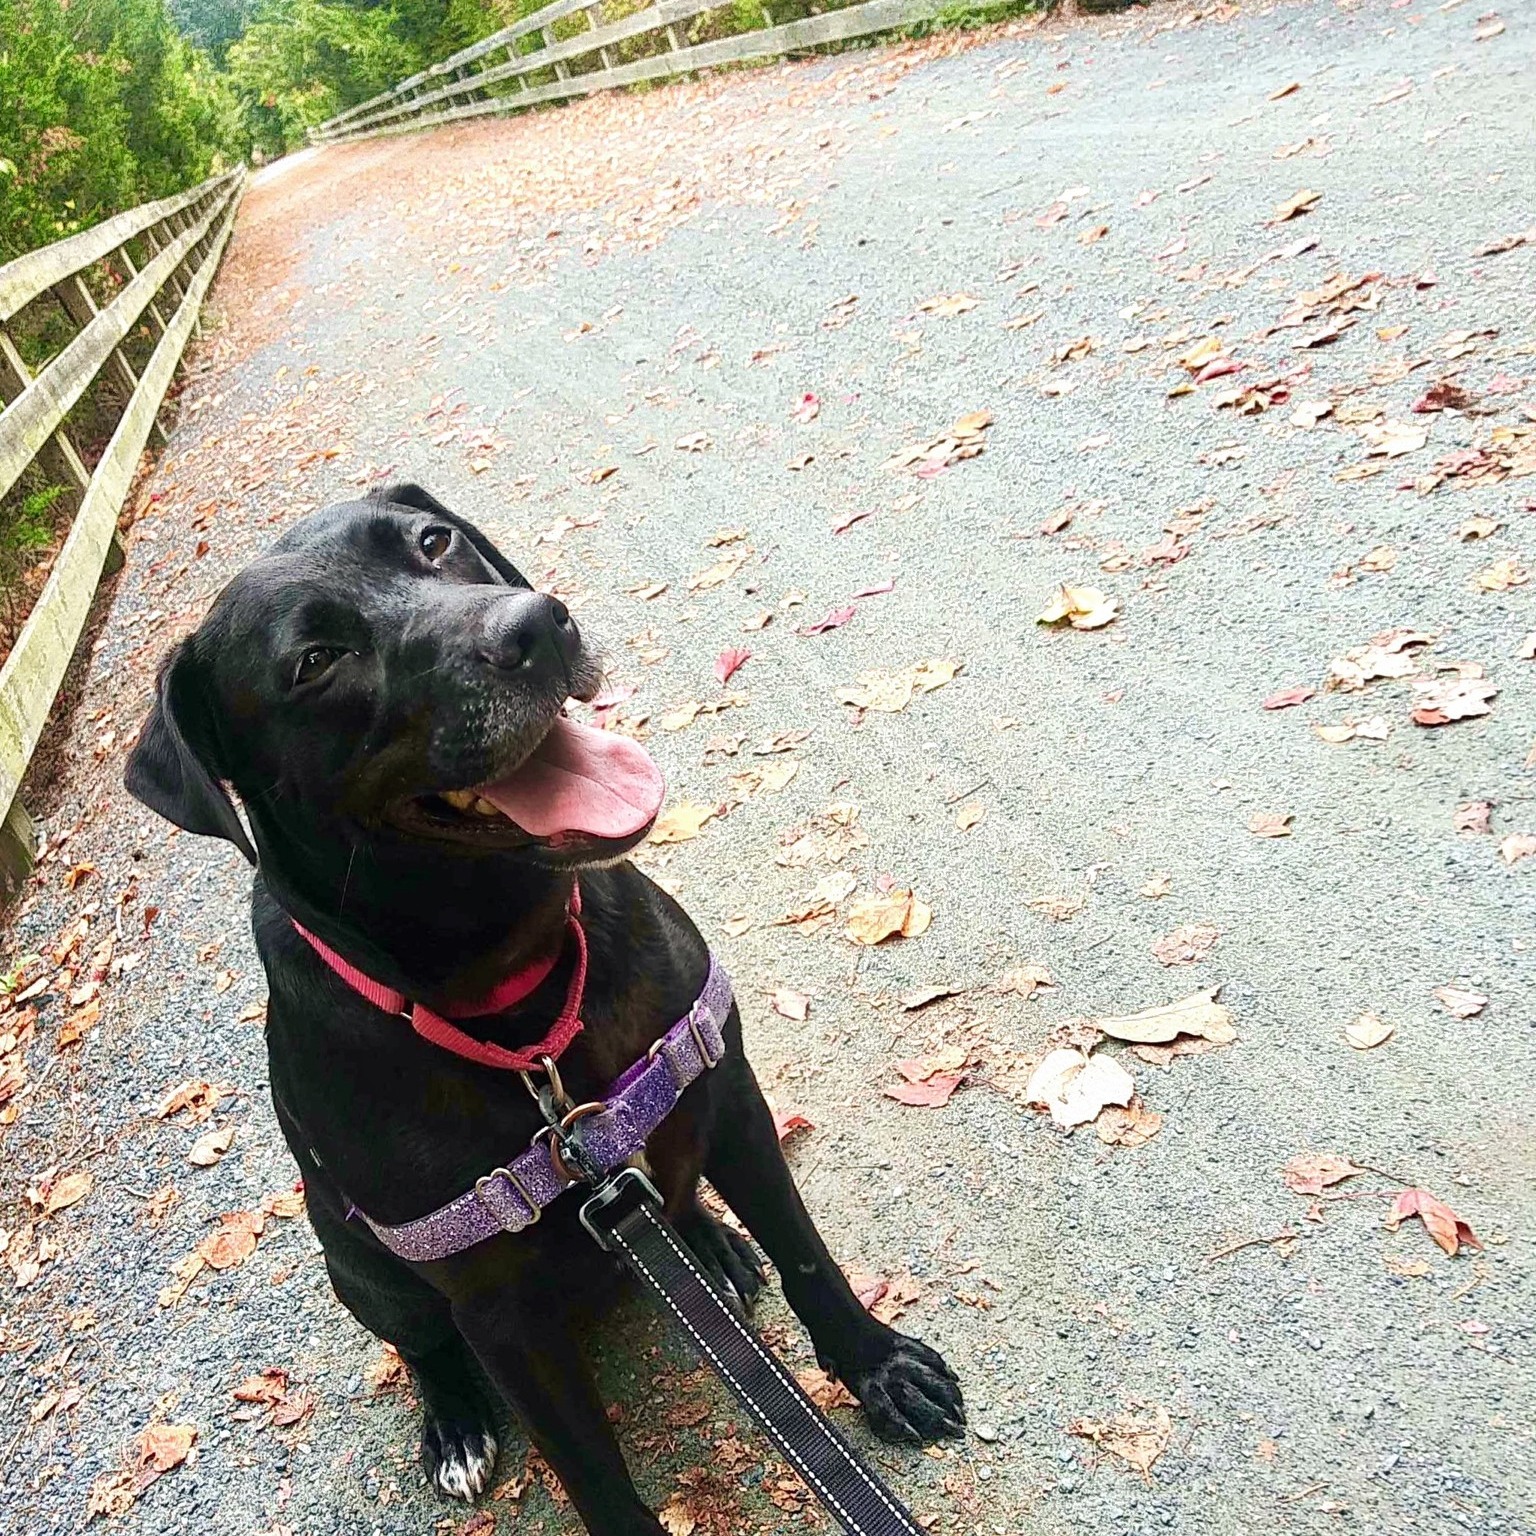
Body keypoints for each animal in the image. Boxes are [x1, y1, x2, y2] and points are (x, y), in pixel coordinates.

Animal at [125, 485, 958, 1529]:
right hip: (361, 1271)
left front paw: (878, 1366)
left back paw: (709, 1246)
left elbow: (810, 1260)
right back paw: (454, 1425)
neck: (519, 989)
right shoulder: (501, 1312)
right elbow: (589, 1469)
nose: (535, 628)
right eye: (315, 661)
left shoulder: (729, 1094)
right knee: (425, 1349)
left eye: (433, 541)